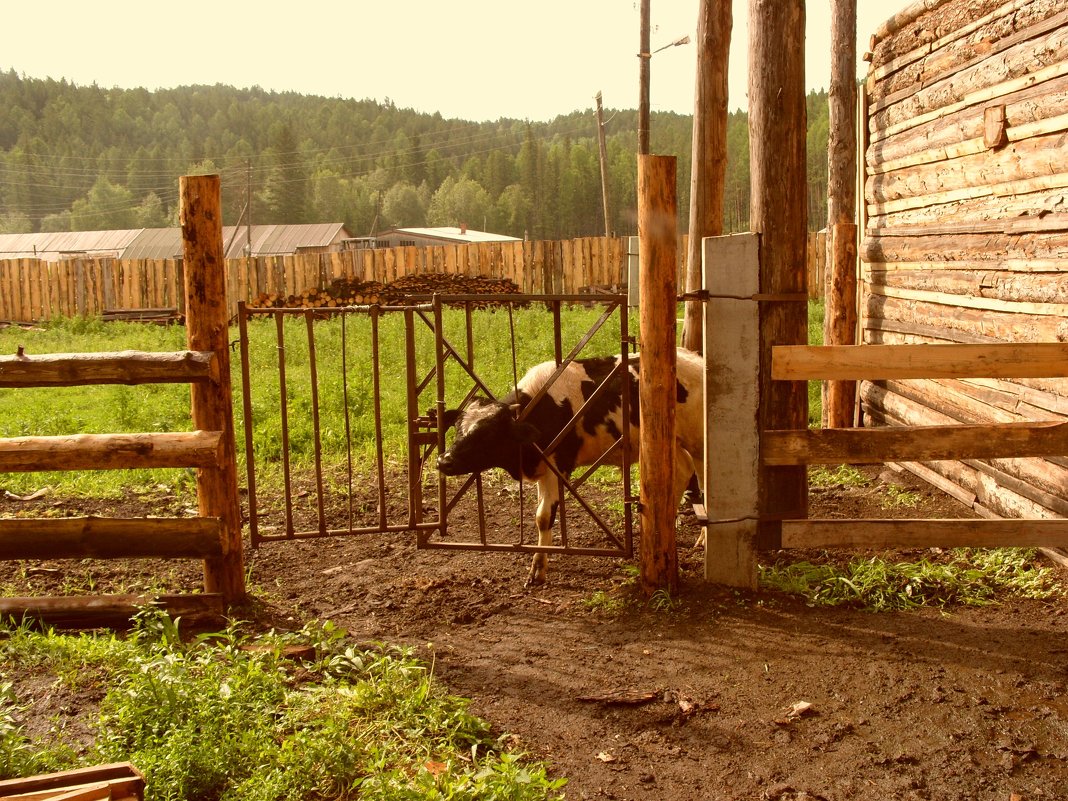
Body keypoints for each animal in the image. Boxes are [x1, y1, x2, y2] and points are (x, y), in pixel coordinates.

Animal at [433, 348, 700, 585]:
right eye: (457, 428)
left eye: (487, 435)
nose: (444, 460)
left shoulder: (556, 466)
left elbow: (543, 517)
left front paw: (538, 569)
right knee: (683, 469)